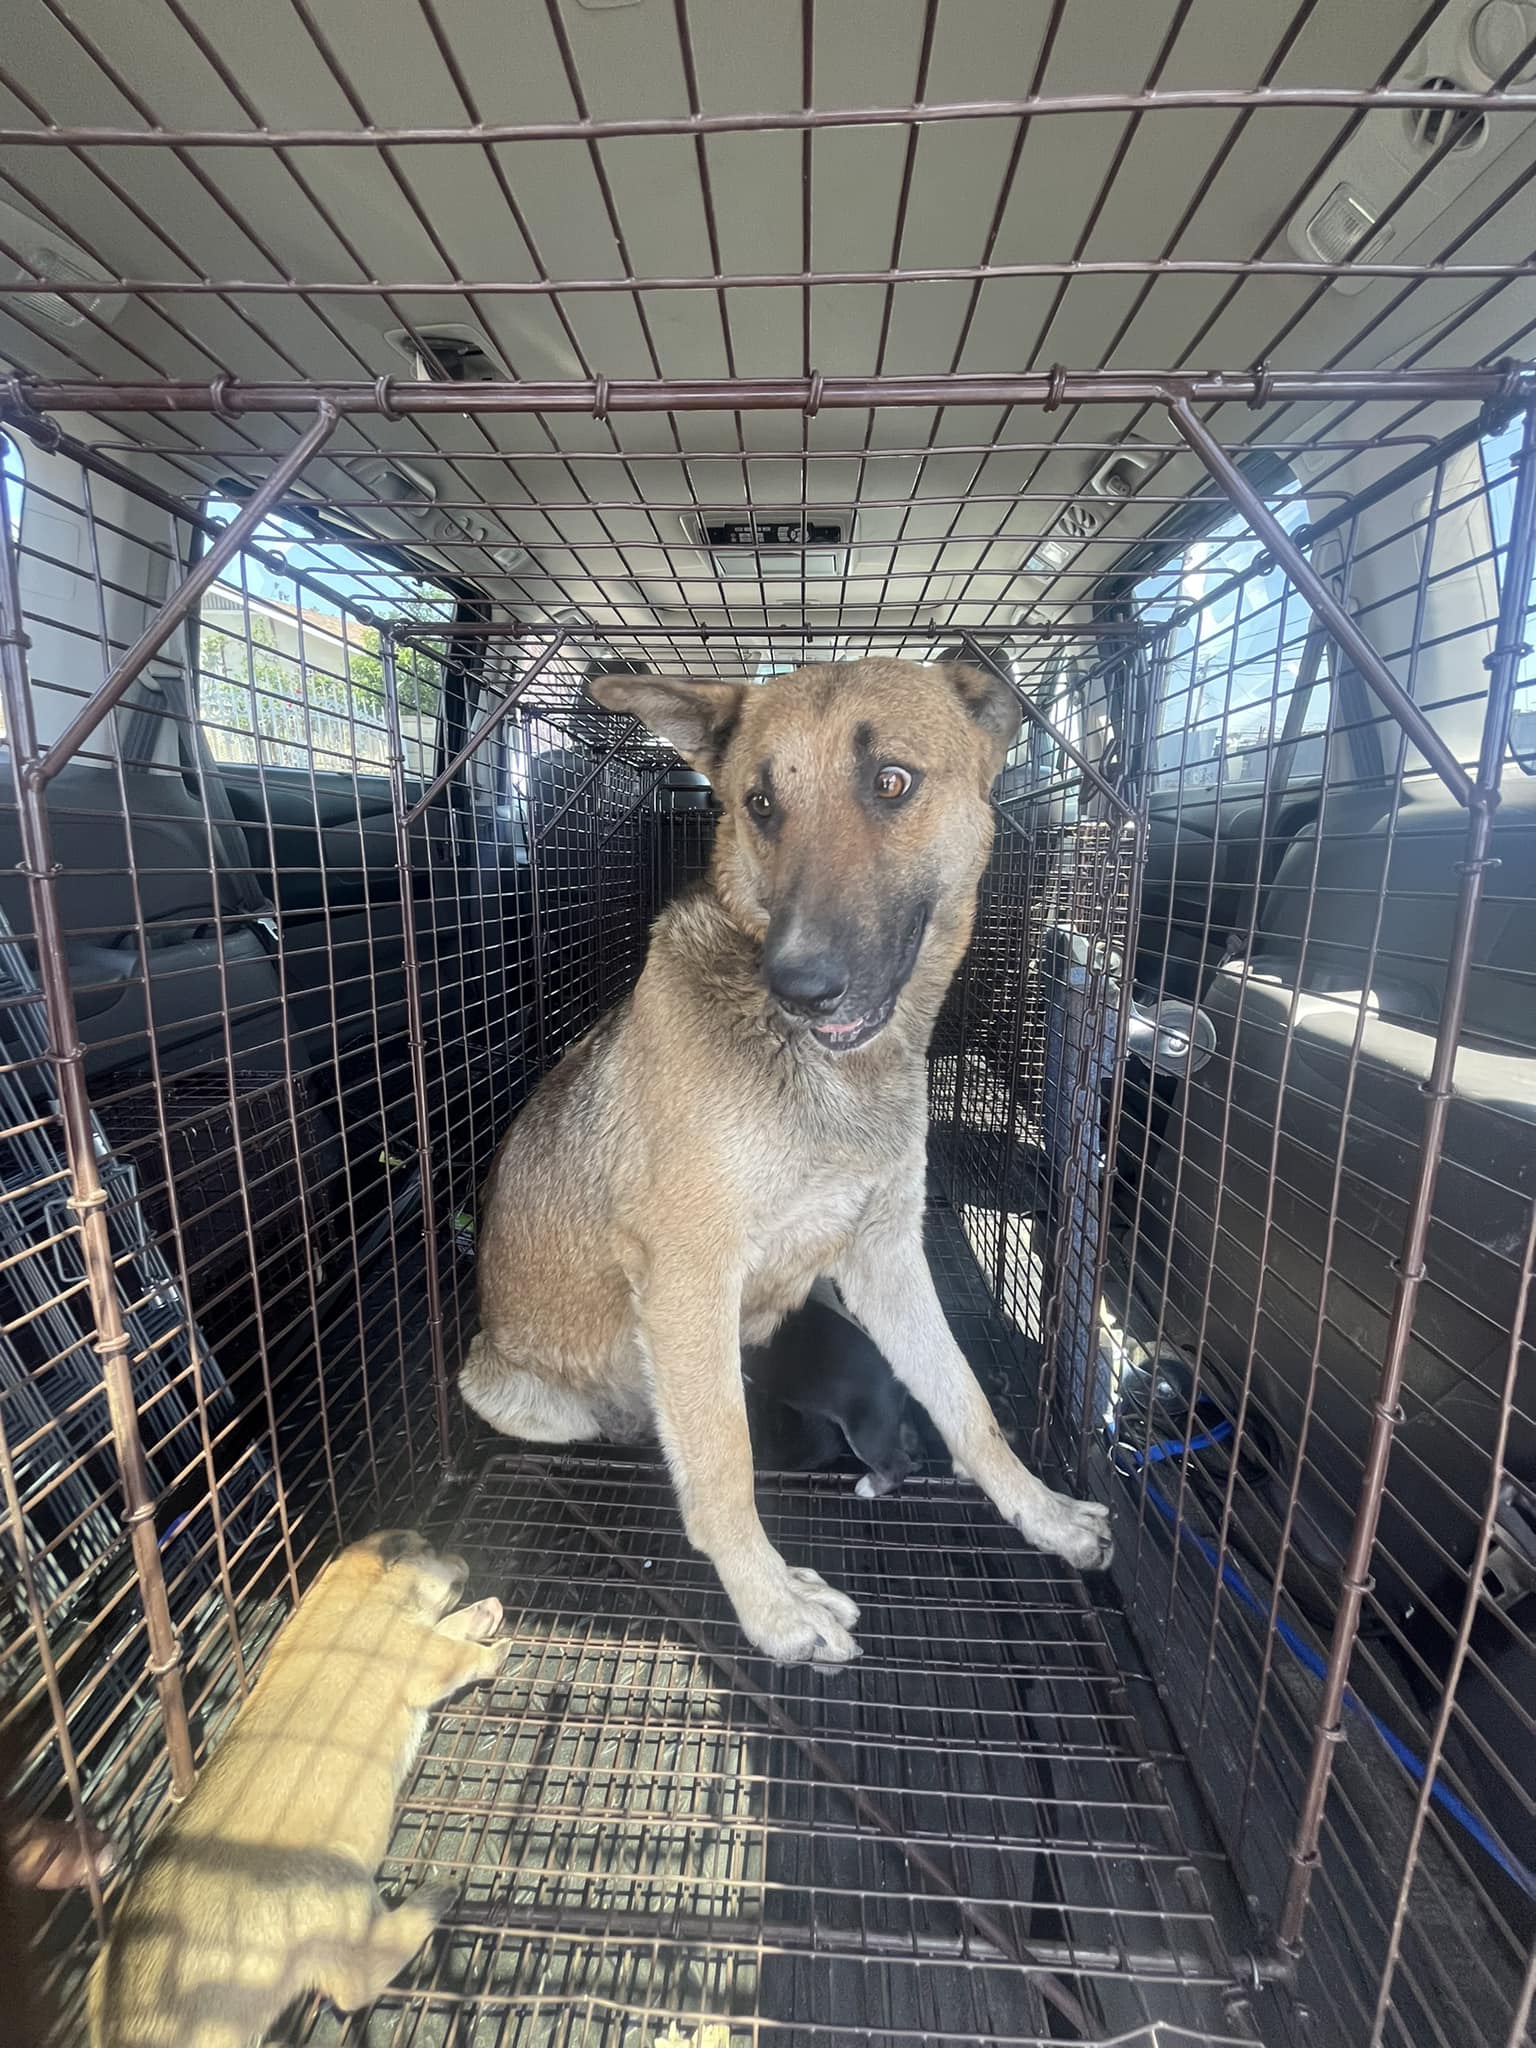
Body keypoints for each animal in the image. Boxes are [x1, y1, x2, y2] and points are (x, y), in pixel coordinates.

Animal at [88, 1540, 505, 2048]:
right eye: (425, 1546)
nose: (461, 1558)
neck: (359, 1594)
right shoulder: (415, 1651)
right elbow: (453, 1652)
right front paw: (498, 1647)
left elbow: (449, 1624)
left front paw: (489, 1610)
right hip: (332, 1885)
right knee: (356, 1979)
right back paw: (437, 1892)